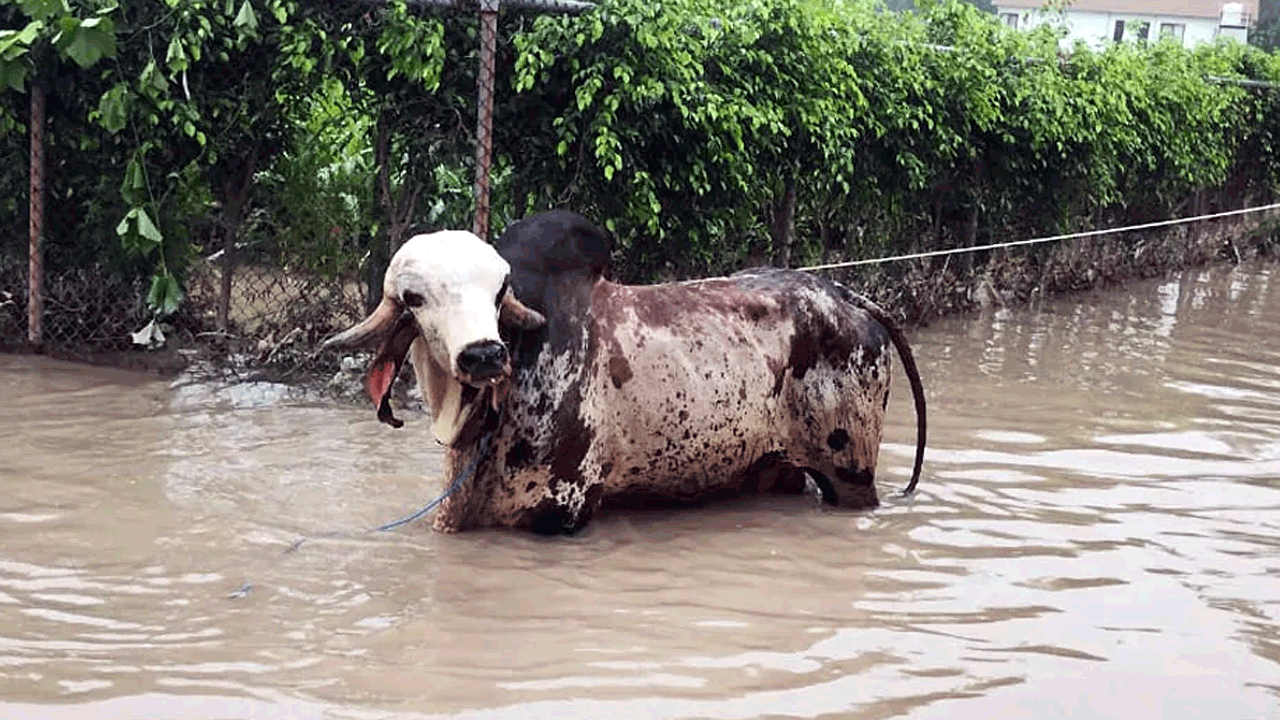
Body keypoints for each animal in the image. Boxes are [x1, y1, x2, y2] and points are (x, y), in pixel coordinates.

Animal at [324, 211, 926, 534]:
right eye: (414, 297)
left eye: (500, 292)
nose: (484, 355)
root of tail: (843, 293)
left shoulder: (561, 513)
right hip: (777, 469)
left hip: (850, 474)